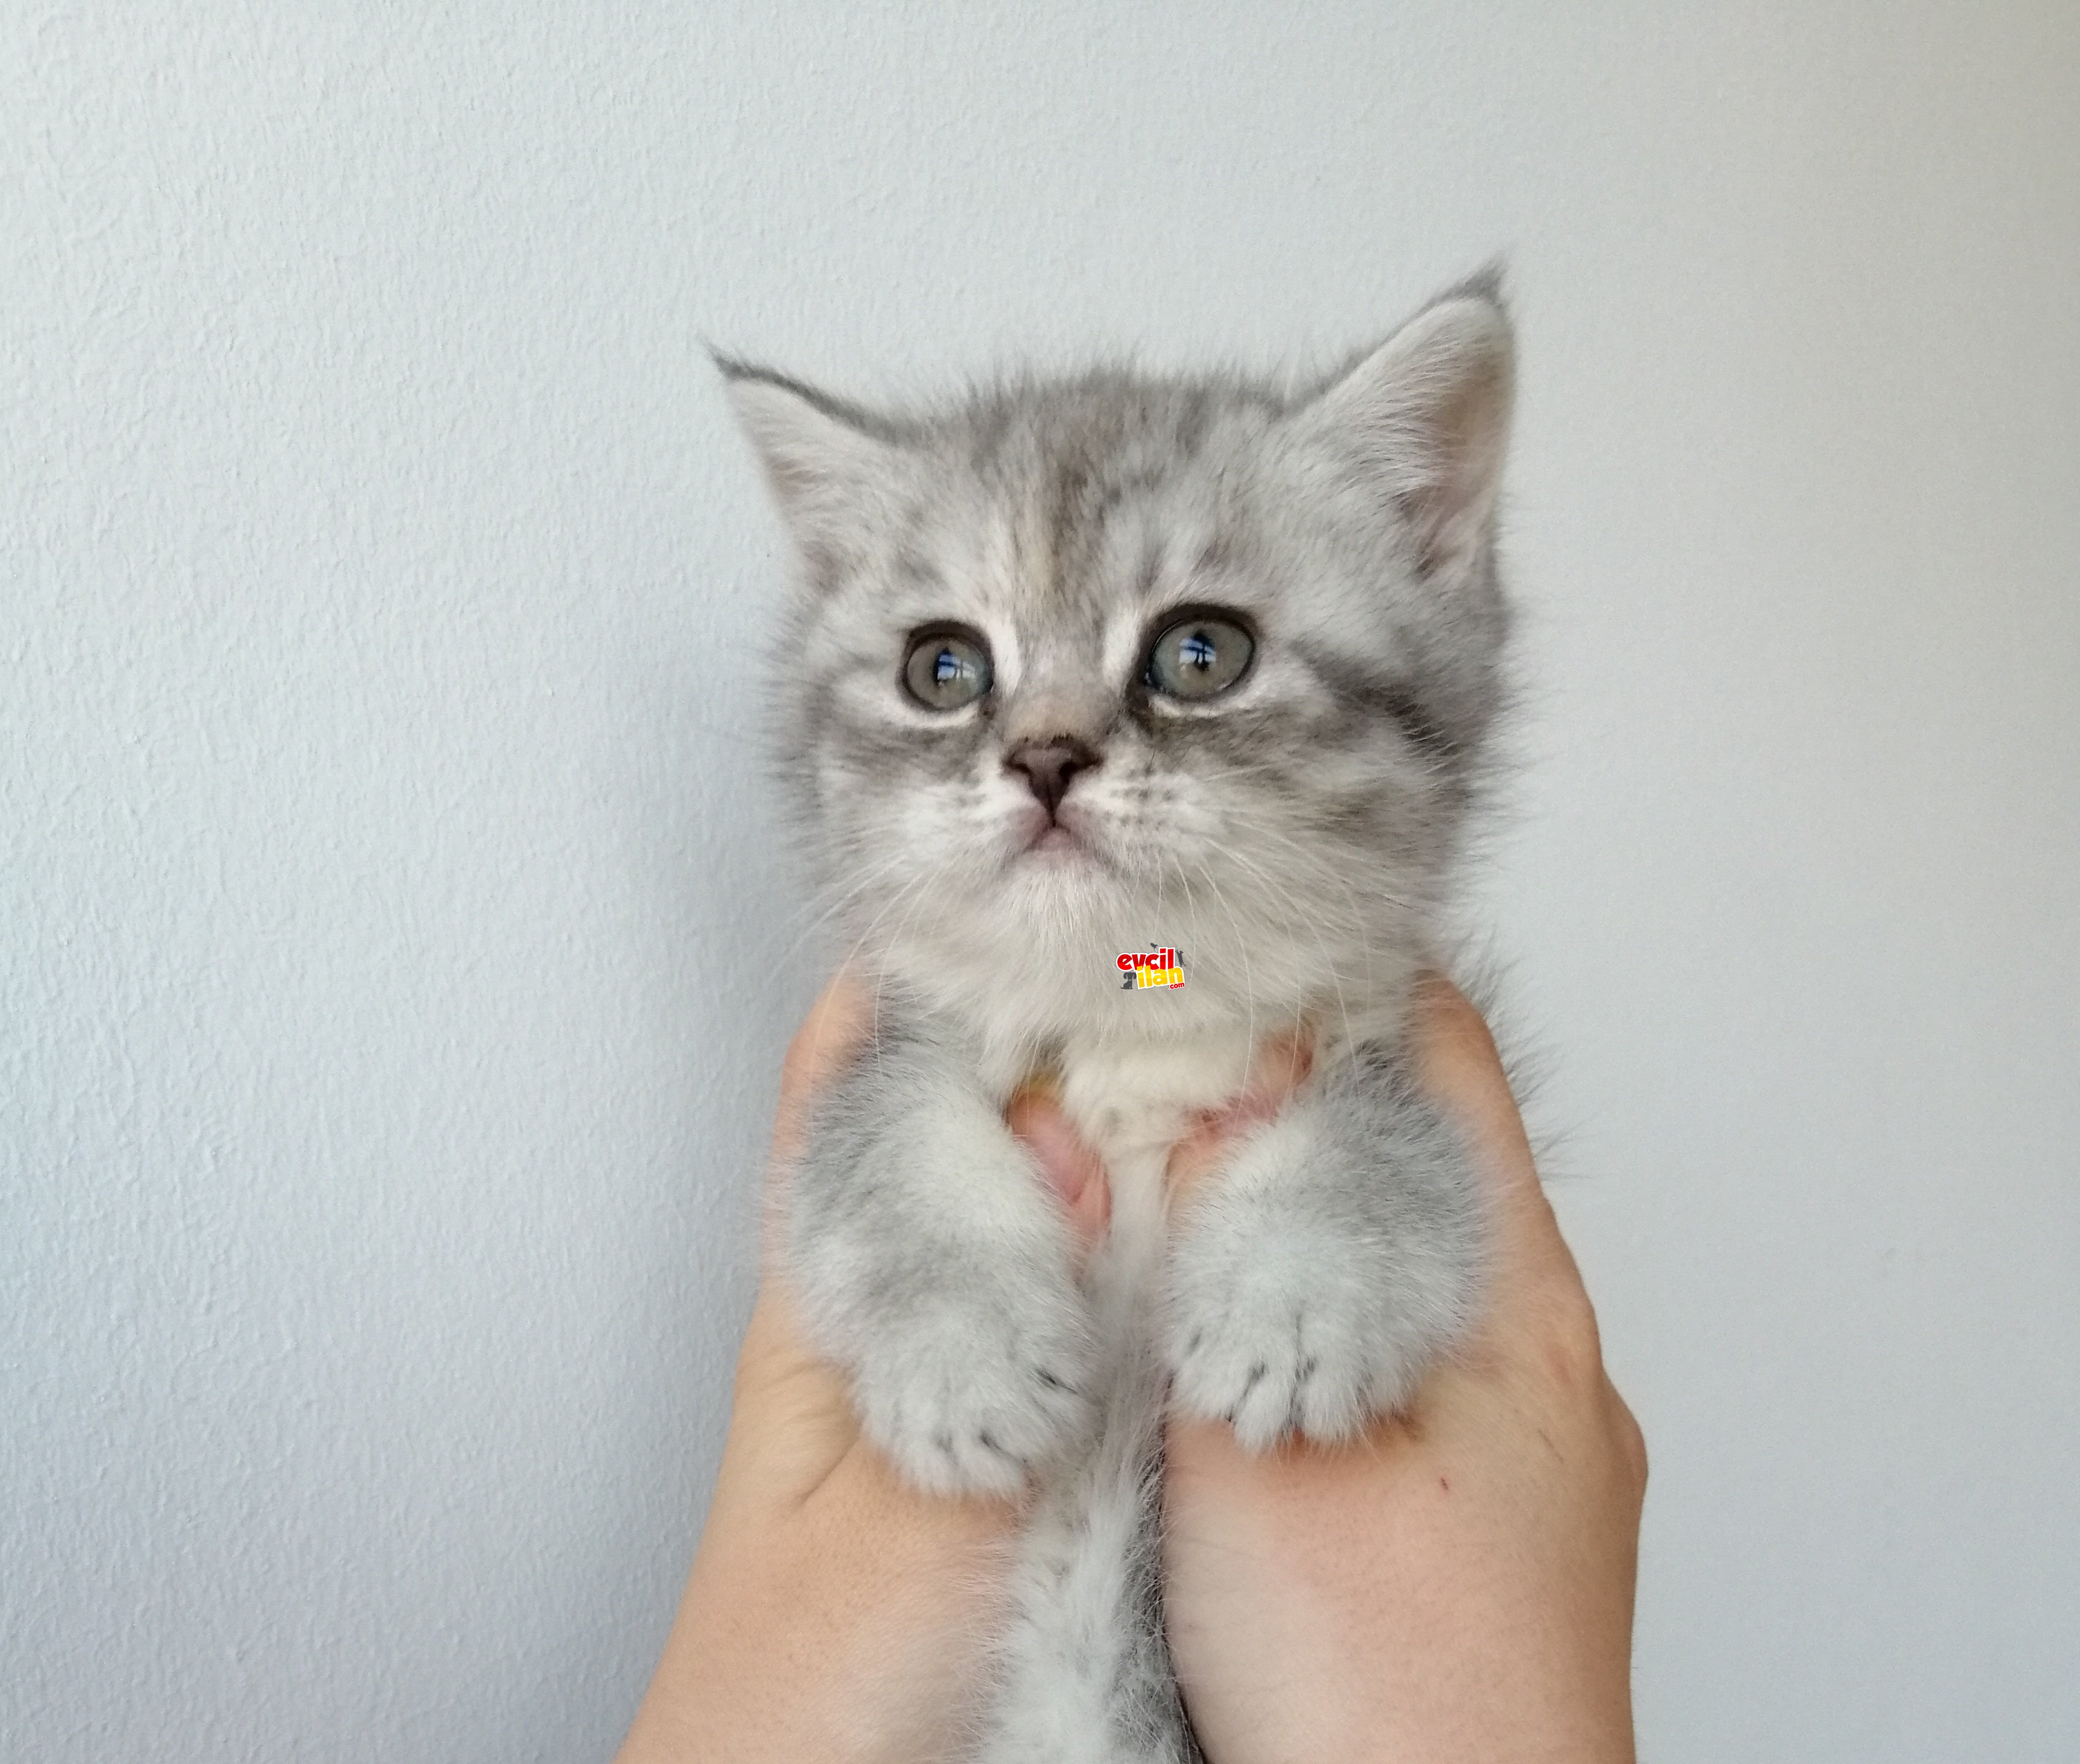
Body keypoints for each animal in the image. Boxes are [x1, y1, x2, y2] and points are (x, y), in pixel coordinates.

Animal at [728, 268, 1514, 1756]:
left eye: (1200, 653)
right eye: (942, 669)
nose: (1042, 756)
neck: (1123, 1038)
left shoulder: (1384, 1033)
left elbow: (1388, 1152)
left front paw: (1292, 1300)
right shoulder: (899, 1040)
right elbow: (879, 1149)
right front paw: (962, 1354)